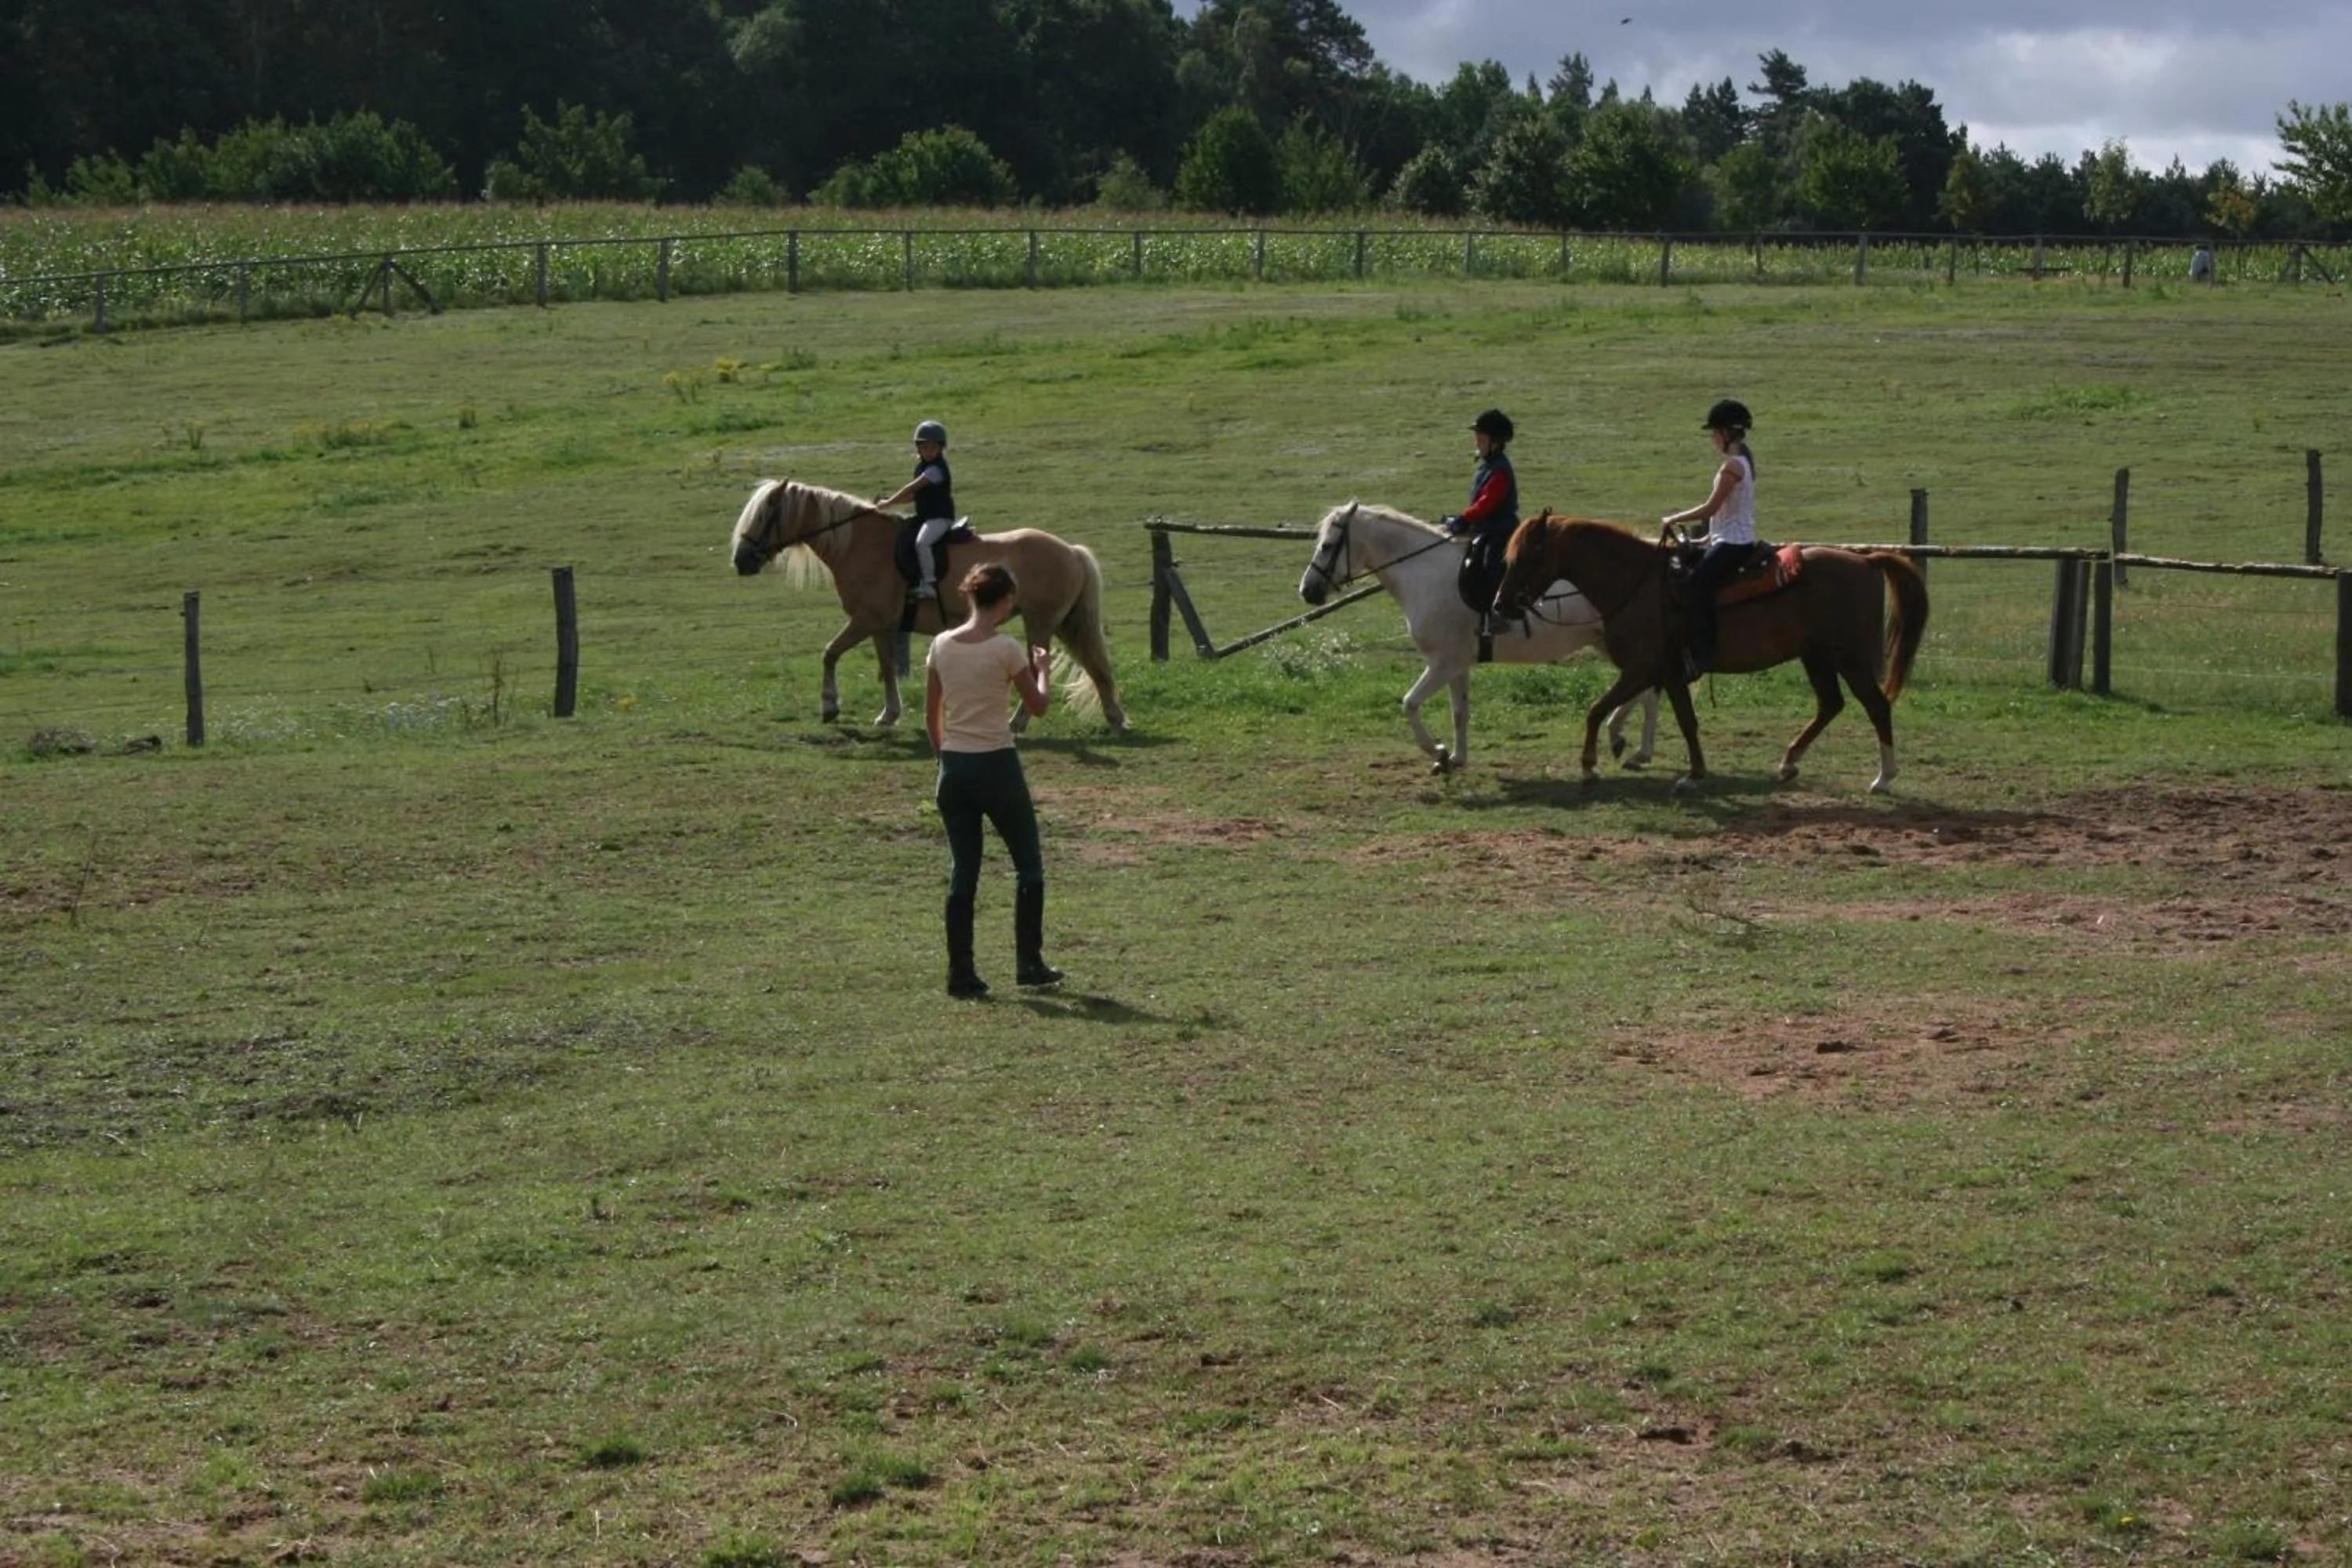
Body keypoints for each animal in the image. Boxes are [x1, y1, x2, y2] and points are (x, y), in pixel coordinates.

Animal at [731, 478, 1126, 731]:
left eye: (764, 516)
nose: (741, 561)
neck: (861, 545)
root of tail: (1071, 550)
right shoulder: (882, 625)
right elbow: (888, 667)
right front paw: (888, 715)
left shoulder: (865, 619)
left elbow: (830, 653)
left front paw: (830, 706)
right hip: (1060, 622)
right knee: (1093, 665)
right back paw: (1113, 717)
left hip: (1041, 622)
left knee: (1039, 668)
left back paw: (1020, 722)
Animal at [1297, 501, 1657, 775]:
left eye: (1327, 546)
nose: (1307, 591)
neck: (1424, 573)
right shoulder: (1456, 665)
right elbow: (1460, 712)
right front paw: (1455, 759)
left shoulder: (1443, 663)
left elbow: (1410, 703)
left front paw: (1438, 752)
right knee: (1645, 689)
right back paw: (1629, 744)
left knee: (1646, 689)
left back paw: (1630, 744)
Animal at [1494, 513, 1928, 793]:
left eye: (1525, 556)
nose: (1500, 605)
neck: (1638, 585)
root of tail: (1865, 560)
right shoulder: (1666, 672)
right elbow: (1684, 720)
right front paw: (1694, 772)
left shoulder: (1641, 668)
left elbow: (1596, 709)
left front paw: (1590, 767)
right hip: (1816, 656)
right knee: (1830, 704)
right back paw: (1789, 763)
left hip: (1849, 657)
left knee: (1876, 706)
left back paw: (1884, 778)